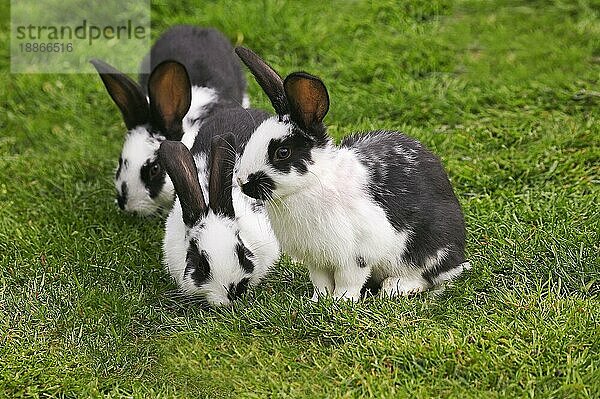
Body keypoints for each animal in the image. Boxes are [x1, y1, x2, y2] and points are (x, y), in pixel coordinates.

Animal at [233, 47, 468, 304]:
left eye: (282, 152)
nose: (242, 182)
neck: (311, 184)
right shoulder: (317, 259)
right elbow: (321, 281)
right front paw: (318, 300)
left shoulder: (355, 254)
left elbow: (349, 280)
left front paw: (341, 301)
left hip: (426, 249)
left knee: (427, 276)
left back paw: (395, 287)